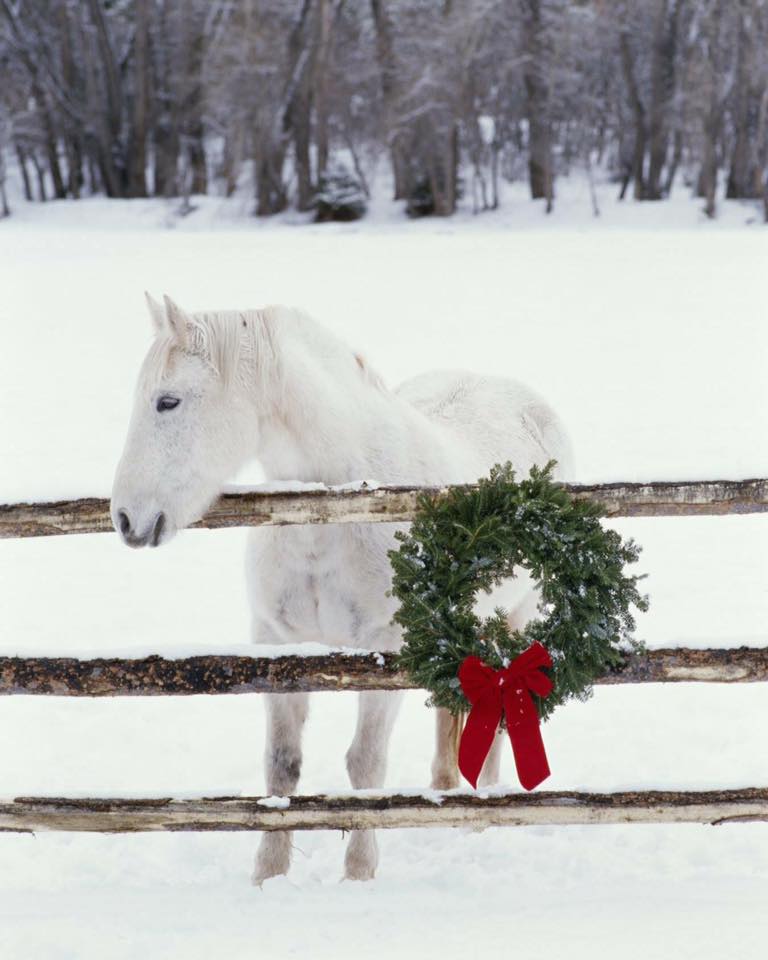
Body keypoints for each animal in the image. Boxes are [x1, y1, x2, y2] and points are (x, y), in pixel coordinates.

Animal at [111, 294, 572, 884]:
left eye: (167, 402)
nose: (126, 518)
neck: (332, 507)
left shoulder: (386, 649)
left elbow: (365, 762)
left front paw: (358, 873)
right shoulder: (277, 644)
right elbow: (282, 764)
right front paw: (269, 875)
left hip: (514, 616)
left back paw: (482, 808)